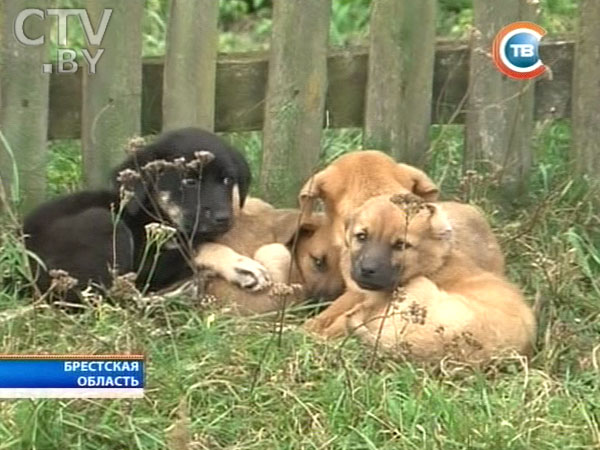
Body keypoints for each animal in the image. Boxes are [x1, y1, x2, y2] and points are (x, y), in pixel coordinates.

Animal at [22, 126, 252, 298]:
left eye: (227, 180)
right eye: (189, 182)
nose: (223, 218)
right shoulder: (146, 265)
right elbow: (198, 247)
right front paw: (241, 267)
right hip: (103, 223)